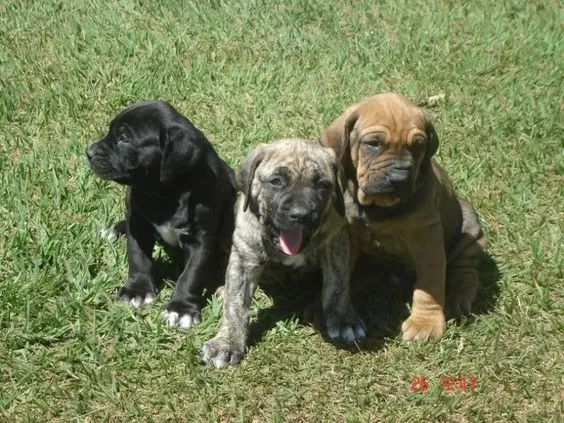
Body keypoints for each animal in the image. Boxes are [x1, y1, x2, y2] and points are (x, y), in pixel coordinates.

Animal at [86, 101, 236, 330]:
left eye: (124, 139)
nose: (89, 152)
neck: (165, 193)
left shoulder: (202, 239)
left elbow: (191, 274)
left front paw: (182, 309)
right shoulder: (137, 224)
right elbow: (137, 257)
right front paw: (137, 290)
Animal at [203, 139, 366, 368]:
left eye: (321, 184)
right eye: (276, 181)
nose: (300, 214)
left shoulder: (336, 242)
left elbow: (337, 285)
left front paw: (343, 319)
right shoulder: (244, 256)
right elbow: (235, 304)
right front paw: (227, 343)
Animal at [322, 93, 484, 342]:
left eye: (418, 145)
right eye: (373, 143)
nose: (399, 178)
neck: (377, 207)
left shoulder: (427, 237)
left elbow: (430, 283)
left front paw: (425, 323)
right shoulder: (345, 236)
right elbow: (339, 279)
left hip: (469, 229)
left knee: (467, 271)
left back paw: (458, 298)